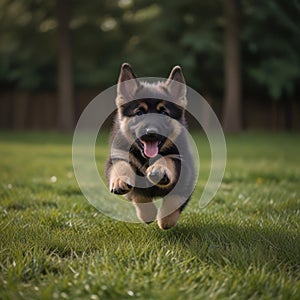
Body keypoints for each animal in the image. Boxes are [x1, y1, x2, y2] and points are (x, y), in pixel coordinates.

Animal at [104, 62, 196, 229]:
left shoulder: (185, 166)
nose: (151, 132)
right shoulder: (117, 155)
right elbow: (123, 170)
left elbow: (175, 192)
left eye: (164, 113)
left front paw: (166, 219)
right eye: (140, 113)